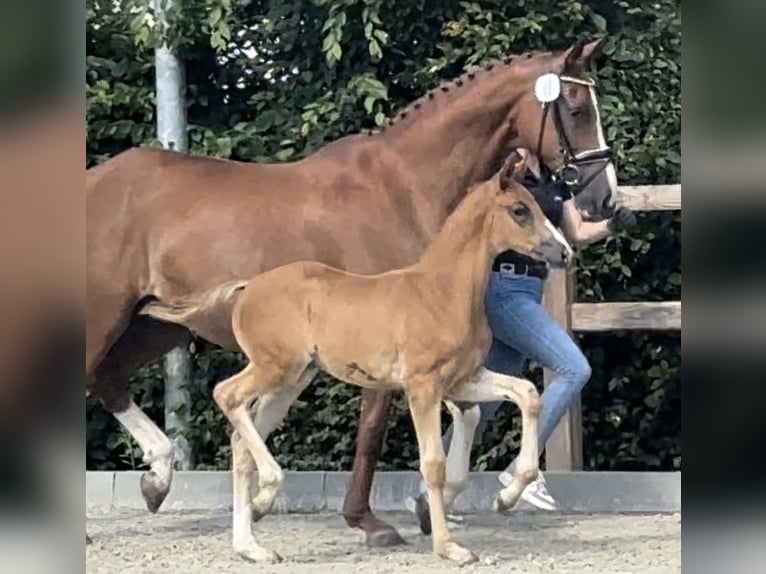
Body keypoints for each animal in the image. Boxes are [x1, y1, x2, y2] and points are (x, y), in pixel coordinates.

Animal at [213, 154, 572, 568]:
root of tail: (247, 289)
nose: (564, 252)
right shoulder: (422, 387)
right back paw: (264, 499)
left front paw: (506, 496)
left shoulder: (463, 379)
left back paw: (251, 544)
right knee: (226, 395)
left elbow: (527, 392)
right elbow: (433, 465)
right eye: (519, 210)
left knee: (241, 441)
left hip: (291, 382)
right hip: (275, 367)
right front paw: (449, 547)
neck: (442, 291)